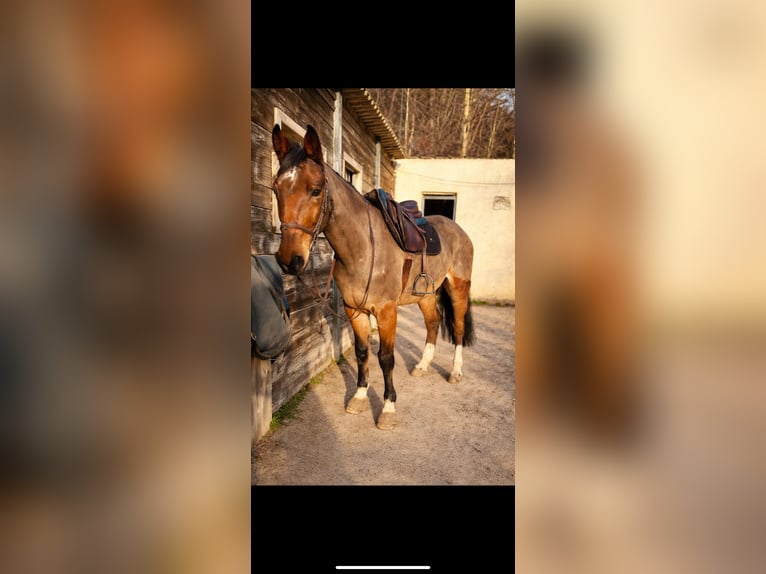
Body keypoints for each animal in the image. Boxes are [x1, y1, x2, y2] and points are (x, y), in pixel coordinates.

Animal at [271, 123, 475, 430]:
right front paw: (358, 397)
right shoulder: (354, 310)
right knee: (433, 323)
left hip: (458, 289)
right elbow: (362, 353)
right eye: (276, 189)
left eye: (316, 190)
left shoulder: (386, 311)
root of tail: (459, 231)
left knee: (459, 329)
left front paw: (388, 409)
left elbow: (386, 358)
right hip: (425, 294)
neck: (364, 248)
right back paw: (423, 366)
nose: (289, 260)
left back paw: (455, 372)